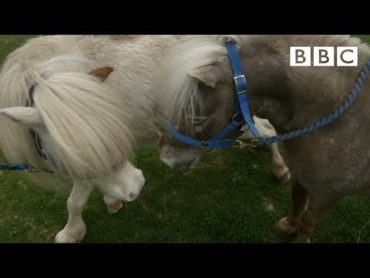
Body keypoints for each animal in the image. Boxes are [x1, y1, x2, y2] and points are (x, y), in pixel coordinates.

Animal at [0, 35, 290, 243]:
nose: (135, 188)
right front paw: (111, 201)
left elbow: (75, 201)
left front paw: (71, 232)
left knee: (267, 130)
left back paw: (280, 169)